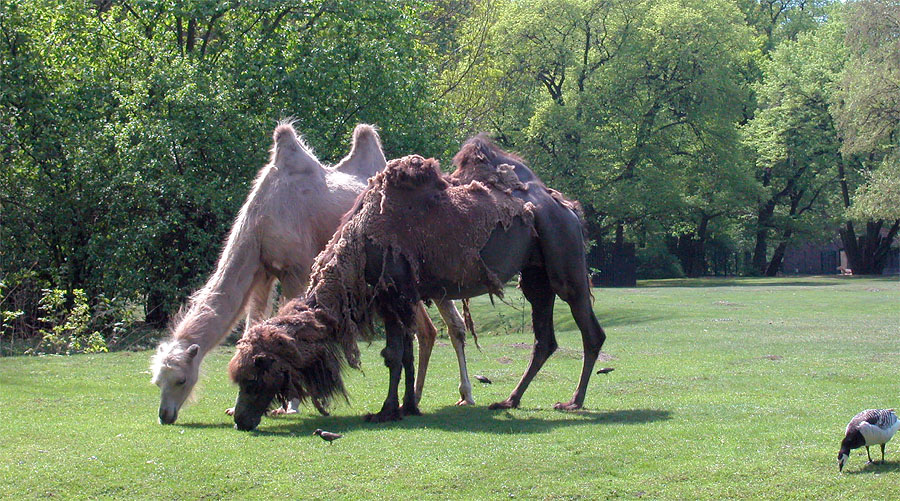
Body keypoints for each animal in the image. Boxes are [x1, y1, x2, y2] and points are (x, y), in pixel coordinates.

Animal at [151, 123, 475, 425]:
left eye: (181, 379)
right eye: (156, 381)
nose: (165, 415)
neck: (261, 219)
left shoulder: (297, 268)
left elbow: (291, 330)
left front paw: (290, 406)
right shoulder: (262, 272)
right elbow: (251, 326)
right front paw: (236, 403)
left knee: (451, 326)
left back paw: (465, 396)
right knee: (428, 329)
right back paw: (416, 398)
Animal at [228, 138, 606, 431]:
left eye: (253, 377)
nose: (240, 419)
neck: (360, 248)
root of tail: (567, 206)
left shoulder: (394, 294)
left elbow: (395, 355)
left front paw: (386, 411)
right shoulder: (398, 298)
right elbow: (404, 353)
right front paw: (407, 406)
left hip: (564, 259)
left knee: (590, 330)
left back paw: (573, 402)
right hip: (535, 275)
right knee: (545, 339)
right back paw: (509, 400)